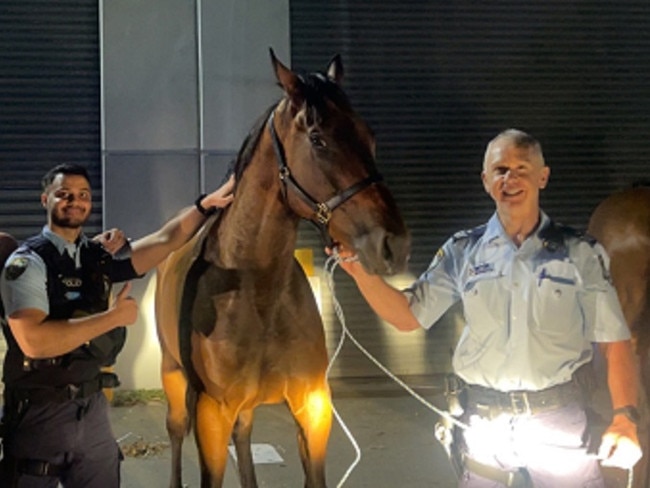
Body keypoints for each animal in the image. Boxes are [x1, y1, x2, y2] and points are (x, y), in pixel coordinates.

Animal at [153, 50, 408, 488]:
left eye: (369, 134)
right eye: (318, 139)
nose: (393, 244)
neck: (256, 291)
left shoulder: (314, 405)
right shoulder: (211, 413)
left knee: (244, 433)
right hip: (172, 374)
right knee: (175, 429)